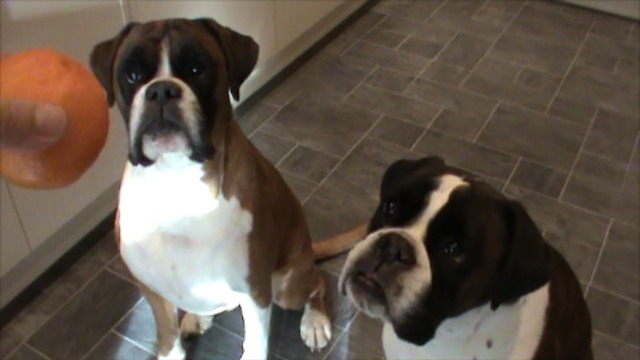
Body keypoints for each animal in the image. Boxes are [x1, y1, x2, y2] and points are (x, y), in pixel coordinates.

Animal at [92, 20, 368, 360]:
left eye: (197, 69)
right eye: (132, 75)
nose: (161, 90)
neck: (175, 178)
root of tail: (308, 248)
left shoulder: (255, 290)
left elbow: (255, 342)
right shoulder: (152, 289)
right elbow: (167, 336)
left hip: (286, 285)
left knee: (316, 284)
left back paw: (314, 321)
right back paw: (197, 318)